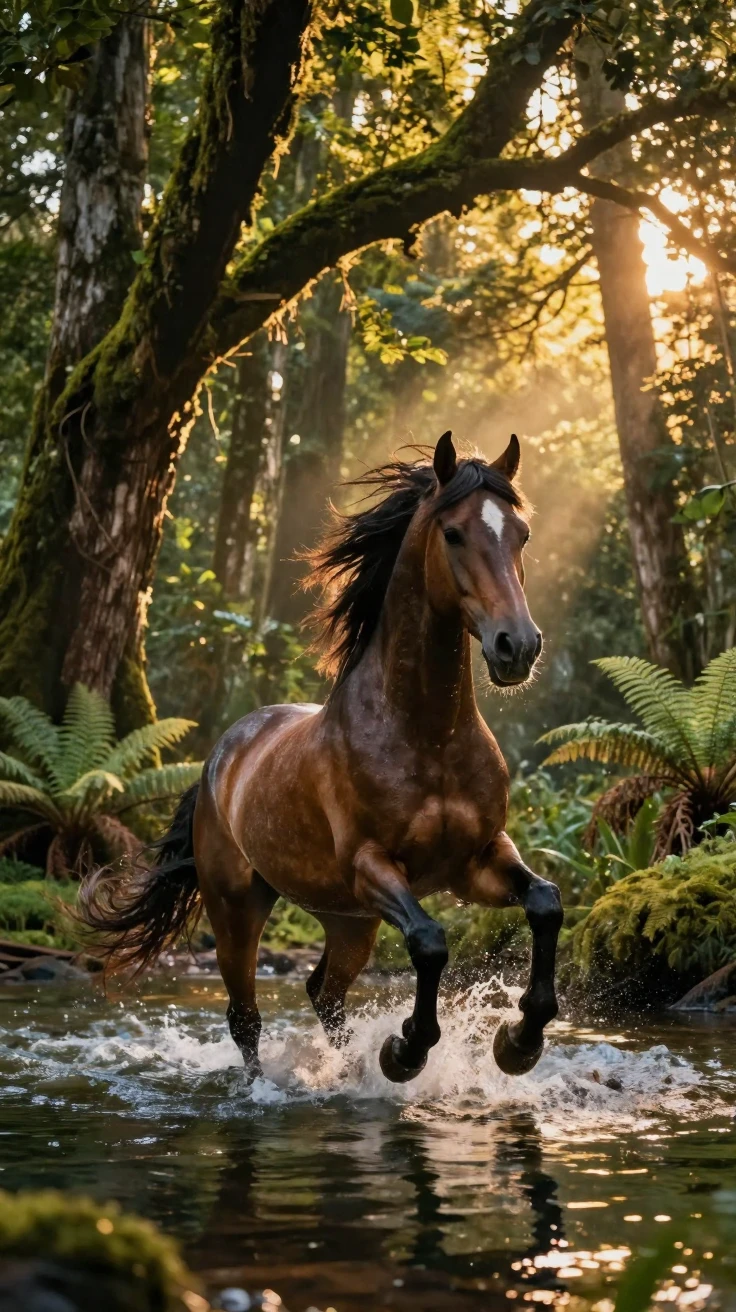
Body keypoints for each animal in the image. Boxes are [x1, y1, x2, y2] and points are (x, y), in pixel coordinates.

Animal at [82, 431, 563, 1085]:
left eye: (522, 534)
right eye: (454, 533)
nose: (517, 646)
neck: (429, 737)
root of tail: (218, 761)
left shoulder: (478, 860)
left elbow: (545, 903)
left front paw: (518, 1042)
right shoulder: (373, 867)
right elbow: (430, 940)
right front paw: (405, 1051)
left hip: (349, 920)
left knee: (323, 993)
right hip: (240, 909)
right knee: (246, 1016)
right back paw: (264, 1087)